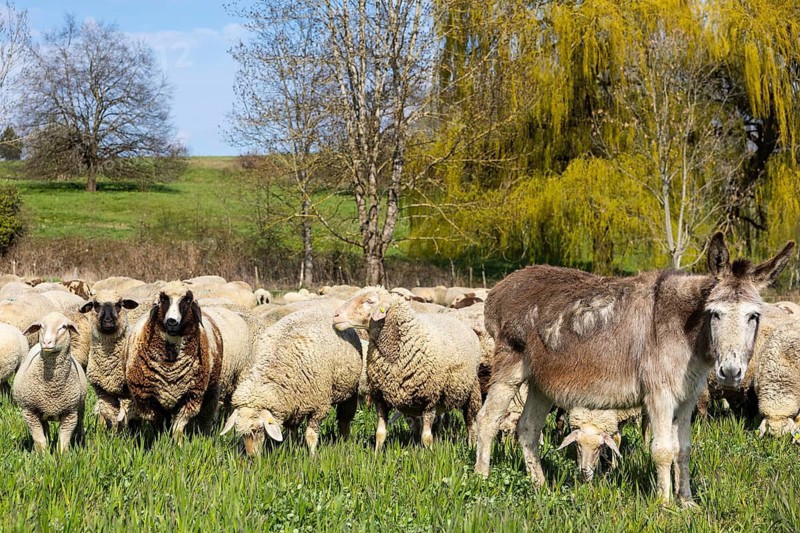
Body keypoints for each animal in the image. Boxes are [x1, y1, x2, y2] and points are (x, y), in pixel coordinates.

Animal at [13, 312, 87, 453]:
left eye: (63, 327)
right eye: (41, 326)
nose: (47, 342)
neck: (52, 387)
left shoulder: (70, 414)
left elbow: (63, 442)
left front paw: (63, 457)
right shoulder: (29, 412)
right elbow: (40, 440)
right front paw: (43, 455)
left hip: (80, 409)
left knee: (79, 425)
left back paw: (79, 442)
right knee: (45, 429)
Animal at [125, 282, 256, 440]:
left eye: (188, 300)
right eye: (163, 299)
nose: (172, 322)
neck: (170, 364)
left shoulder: (191, 396)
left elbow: (178, 429)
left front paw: (178, 444)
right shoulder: (146, 399)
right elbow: (159, 428)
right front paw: (160, 442)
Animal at [221, 306, 363, 456]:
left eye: (259, 429)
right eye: (241, 433)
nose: (252, 456)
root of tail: (326, 308)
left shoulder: (320, 406)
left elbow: (311, 435)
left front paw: (313, 456)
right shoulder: (293, 403)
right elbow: (292, 432)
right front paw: (292, 449)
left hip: (349, 390)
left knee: (344, 420)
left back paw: (345, 442)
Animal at [333, 286, 482, 450]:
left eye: (369, 301)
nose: (335, 316)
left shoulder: (429, 399)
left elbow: (426, 437)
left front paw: (429, 454)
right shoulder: (381, 398)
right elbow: (380, 434)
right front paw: (377, 454)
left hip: (471, 390)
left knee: (470, 422)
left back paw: (471, 445)